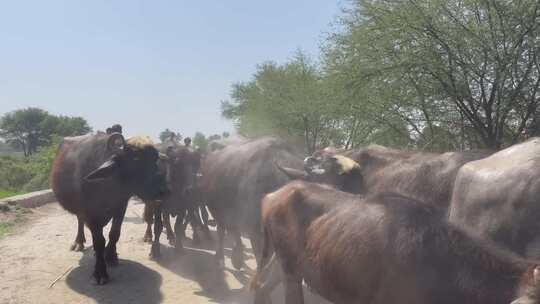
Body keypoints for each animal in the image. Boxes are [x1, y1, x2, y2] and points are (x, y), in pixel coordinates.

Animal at [51, 134, 169, 284]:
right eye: (136, 159)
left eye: (155, 159)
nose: (163, 191)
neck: (107, 186)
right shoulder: (91, 214)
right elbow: (99, 242)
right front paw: (100, 272)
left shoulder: (120, 207)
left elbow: (114, 234)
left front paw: (111, 256)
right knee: (80, 220)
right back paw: (78, 242)